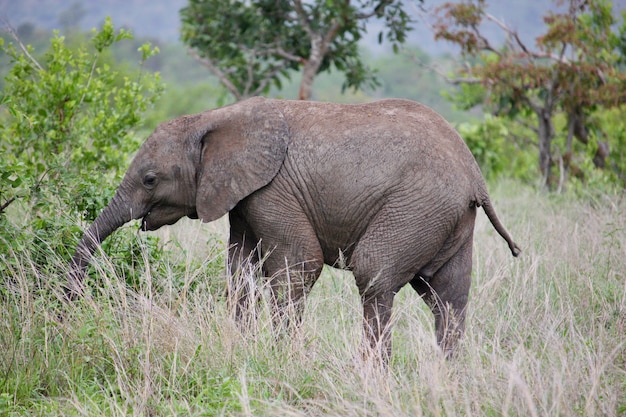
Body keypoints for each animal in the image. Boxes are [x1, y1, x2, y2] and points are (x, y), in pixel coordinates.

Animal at [66, 96, 520, 358]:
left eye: (150, 180)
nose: (66, 309)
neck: (214, 119)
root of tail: (475, 174)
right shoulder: (242, 197)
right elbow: (241, 271)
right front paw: (243, 349)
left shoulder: (272, 190)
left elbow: (298, 266)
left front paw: (281, 358)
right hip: (447, 218)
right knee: (448, 298)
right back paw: (446, 378)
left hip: (416, 207)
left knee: (374, 275)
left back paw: (372, 373)